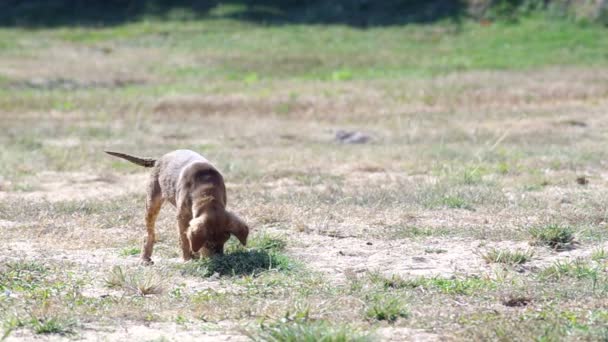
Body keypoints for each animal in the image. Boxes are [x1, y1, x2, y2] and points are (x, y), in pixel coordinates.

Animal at [105, 150, 249, 264]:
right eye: (208, 243)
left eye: (225, 240)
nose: (219, 261)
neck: (207, 192)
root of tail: (160, 159)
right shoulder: (182, 216)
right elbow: (184, 239)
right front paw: (188, 259)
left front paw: (196, 255)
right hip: (152, 201)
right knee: (149, 233)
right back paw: (144, 259)